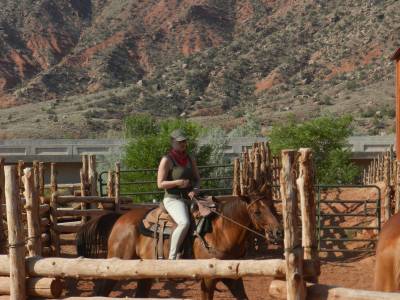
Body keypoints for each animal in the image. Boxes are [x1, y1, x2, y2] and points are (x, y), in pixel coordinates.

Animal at [76, 193, 282, 298]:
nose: (278, 232)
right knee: (101, 291)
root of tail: (120, 219)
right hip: (115, 267)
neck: (221, 232)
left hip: (143, 273)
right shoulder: (208, 279)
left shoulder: (233, 277)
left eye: (273, 207)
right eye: (257, 212)